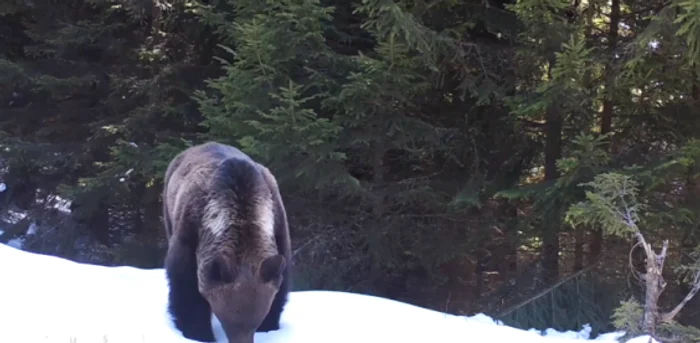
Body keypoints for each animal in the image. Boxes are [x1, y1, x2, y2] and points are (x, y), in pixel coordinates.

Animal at [163, 142, 292, 343]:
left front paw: (270, 326)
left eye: (255, 322)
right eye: (228, 321)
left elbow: (280, 285)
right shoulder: (189, 234)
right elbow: (186, 289)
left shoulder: (279, 228)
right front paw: (198, 332)